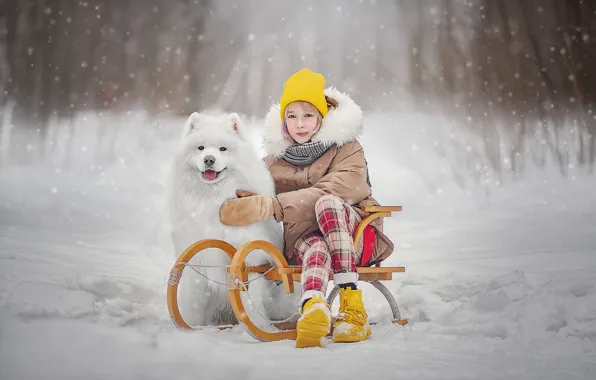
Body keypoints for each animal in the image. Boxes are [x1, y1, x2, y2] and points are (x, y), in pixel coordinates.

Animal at [165, 110, 296, 326]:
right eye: (200, 148)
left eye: (223, 149)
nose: (209, 159)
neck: (213, 199)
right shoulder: (197, 258)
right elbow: (195, 300)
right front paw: (192, 325)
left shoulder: (249, 260)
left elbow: (250, 300)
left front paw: (258, 325)